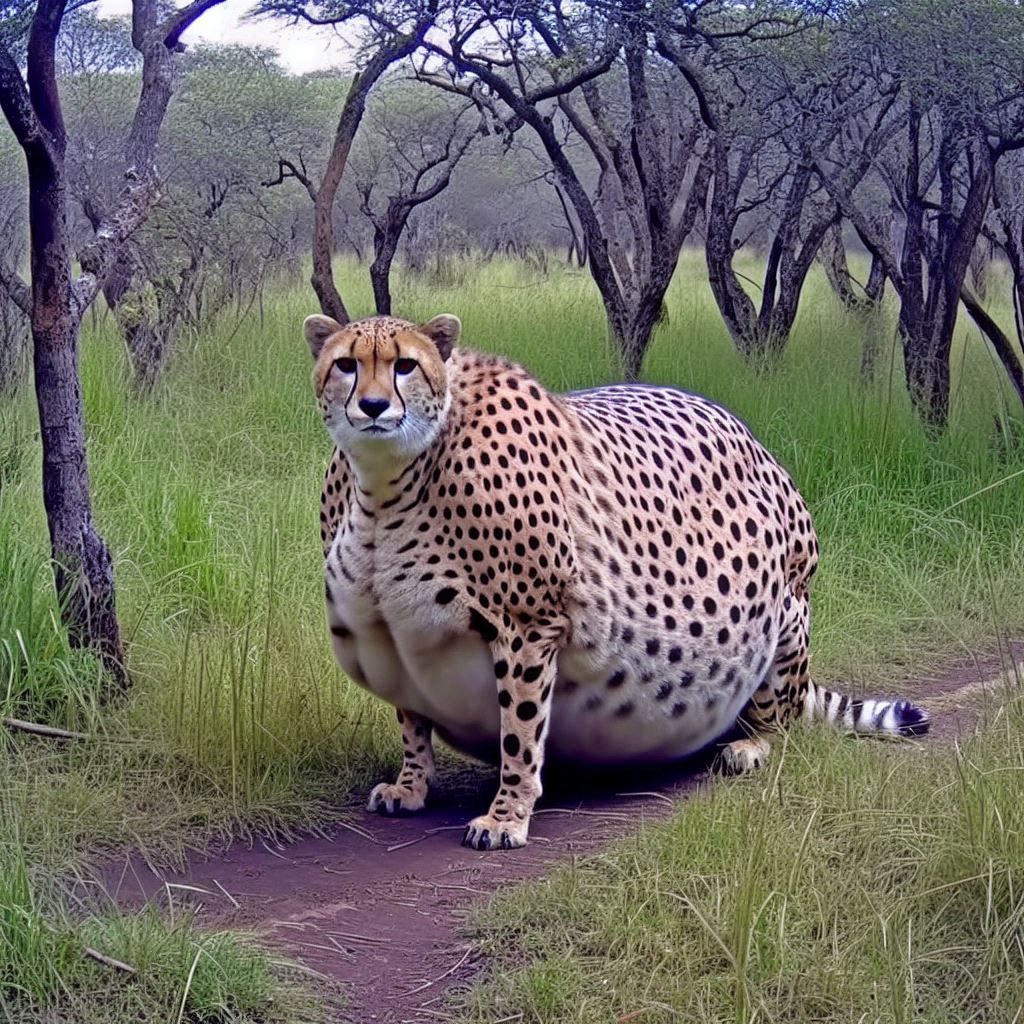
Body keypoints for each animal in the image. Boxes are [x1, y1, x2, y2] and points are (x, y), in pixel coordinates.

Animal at [305, 311, 929, 851]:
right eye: (347, 364)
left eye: (406, 365)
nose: (374, 405)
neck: (388, 485)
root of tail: (757, 441)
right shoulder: (400, 635)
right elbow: (412, 719)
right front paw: (411, 786)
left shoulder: (530, 623)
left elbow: (520, 731)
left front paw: (507, 816)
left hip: (788, 612)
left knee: (784, 719)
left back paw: (752, 746)